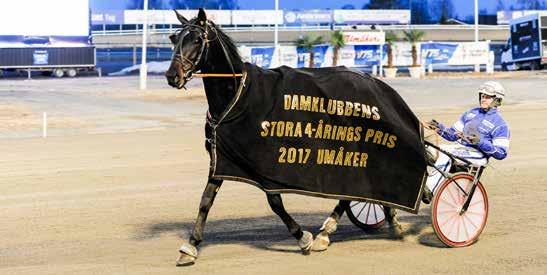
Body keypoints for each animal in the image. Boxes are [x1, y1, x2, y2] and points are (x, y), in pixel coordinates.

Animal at [164, 9, 402, 268]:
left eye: (197, 39)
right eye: (174, 38)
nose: (172, 76)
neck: (238, 97)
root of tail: (369, 79)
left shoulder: (264, 161)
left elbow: (275, 202)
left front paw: (302, 237)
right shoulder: (221, 156)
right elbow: (206, 200)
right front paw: (190, 247)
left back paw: (330, 231)